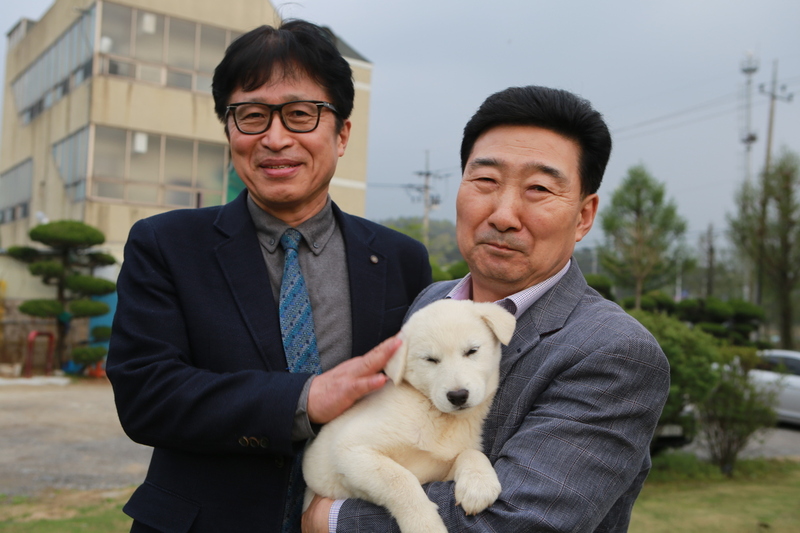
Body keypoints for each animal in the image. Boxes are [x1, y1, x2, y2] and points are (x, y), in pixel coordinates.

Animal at [304, 300, 516, 532]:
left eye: (472, 351)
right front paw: (425, 525)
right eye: (430, 359)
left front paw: (478, 484)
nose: (458, 396)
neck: (436, 416)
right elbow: (400, 479)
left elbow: (471, 453)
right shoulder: (351, 450)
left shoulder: (441, 470)